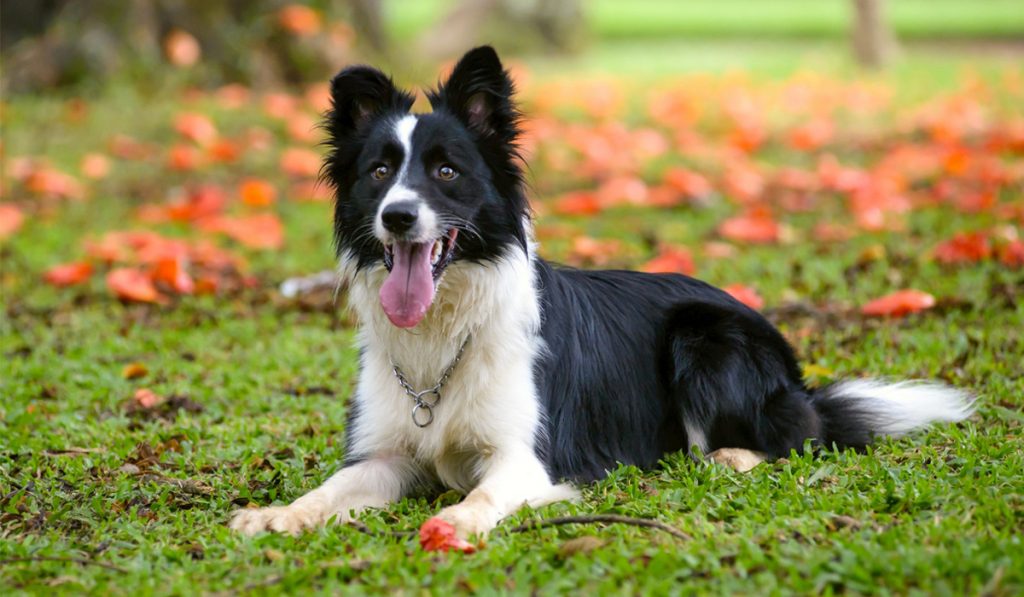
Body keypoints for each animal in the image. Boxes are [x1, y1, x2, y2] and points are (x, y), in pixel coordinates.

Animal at [232, 45, 974, 536]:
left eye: (445, 171)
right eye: (380, 172)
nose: (398, 217)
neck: (447, 329)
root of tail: (795, 374)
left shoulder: (527, 458)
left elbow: (481, 497)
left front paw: (457, 522)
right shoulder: (386, 454)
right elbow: (331, 487)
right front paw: (276, 514)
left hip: (705, 337)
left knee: (794, 436)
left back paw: (729, 454)